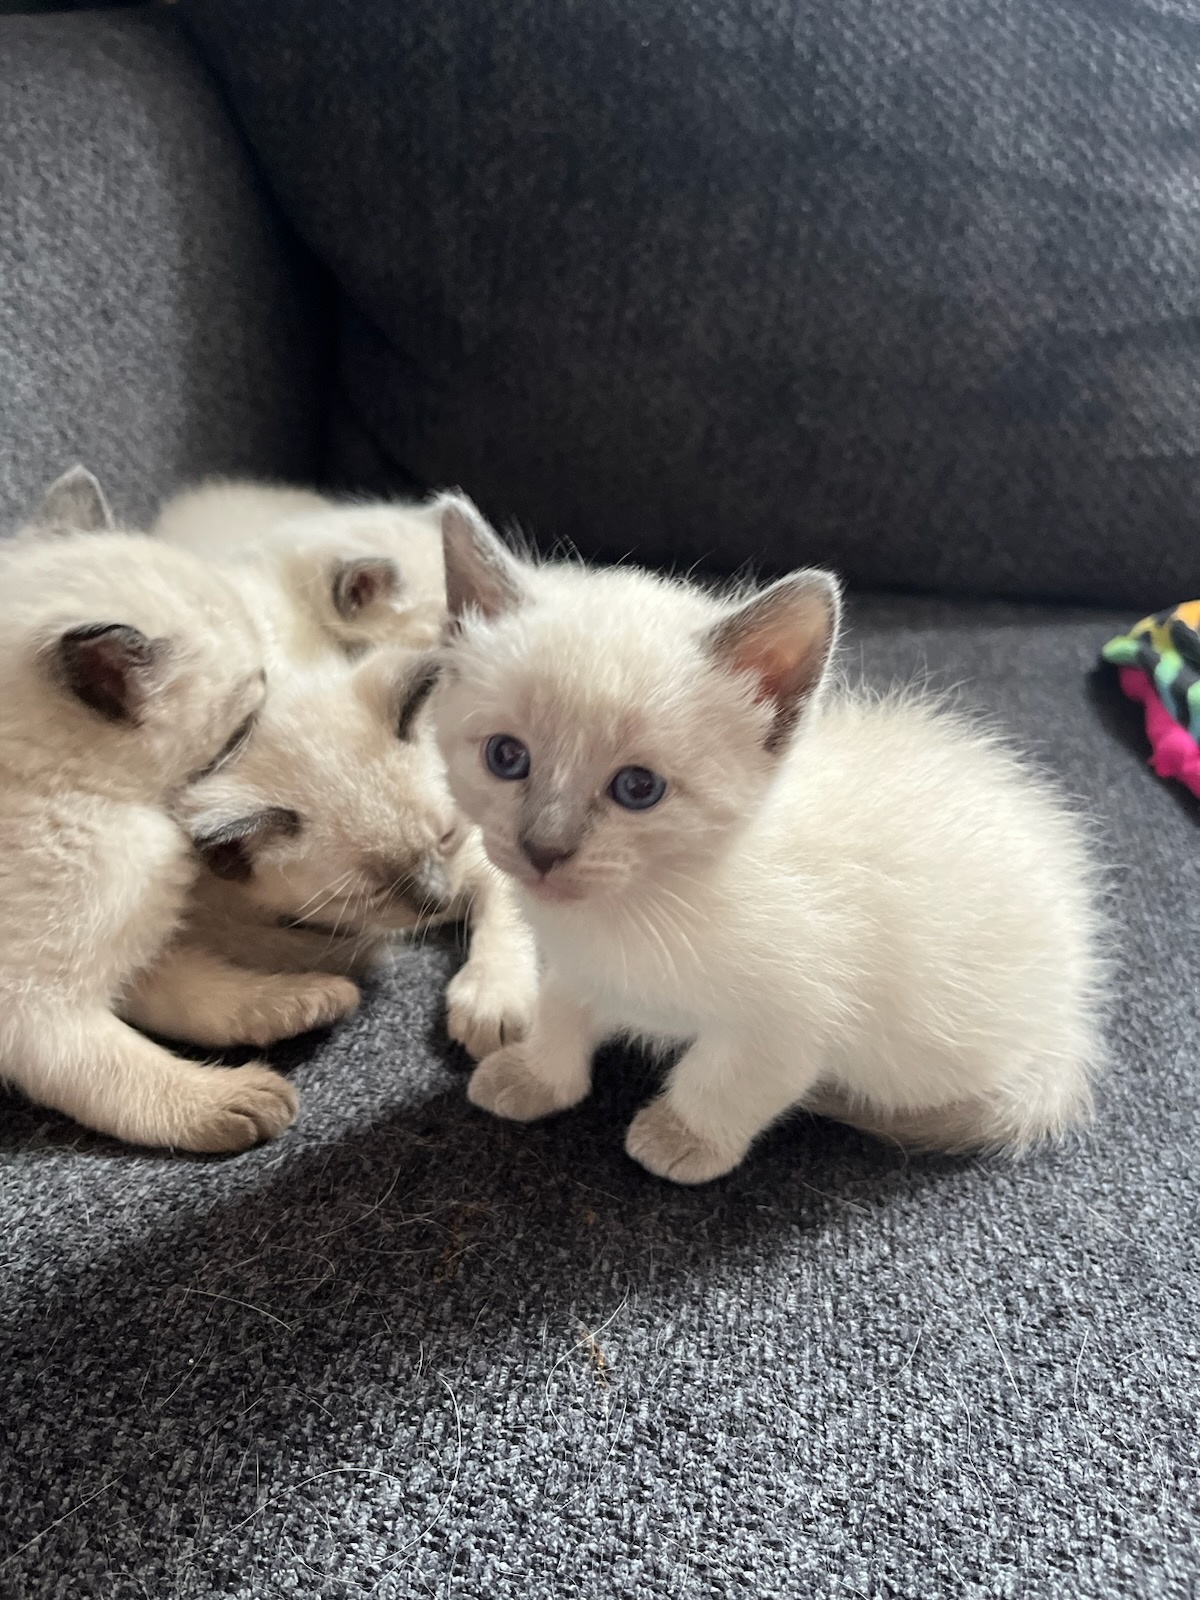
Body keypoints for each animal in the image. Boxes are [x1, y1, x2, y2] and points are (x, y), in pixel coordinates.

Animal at [0, 467, 299, 1158]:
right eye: (246, 722)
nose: (280, 695)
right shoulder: (38, 1006)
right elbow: (128, 1071)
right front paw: (233, 1101)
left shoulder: (116, 950)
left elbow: (203, 993)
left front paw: (301, 1001)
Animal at [432, 502, 1107, 1190]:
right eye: (506, 757)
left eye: (638, 788)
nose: (543, 848)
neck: (639, 908)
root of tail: (1069, 1019)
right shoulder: (576, 967)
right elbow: (561, 1012)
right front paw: (533, 1076)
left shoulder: (793, 1020)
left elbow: (724, 1080)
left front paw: (680, 1138)